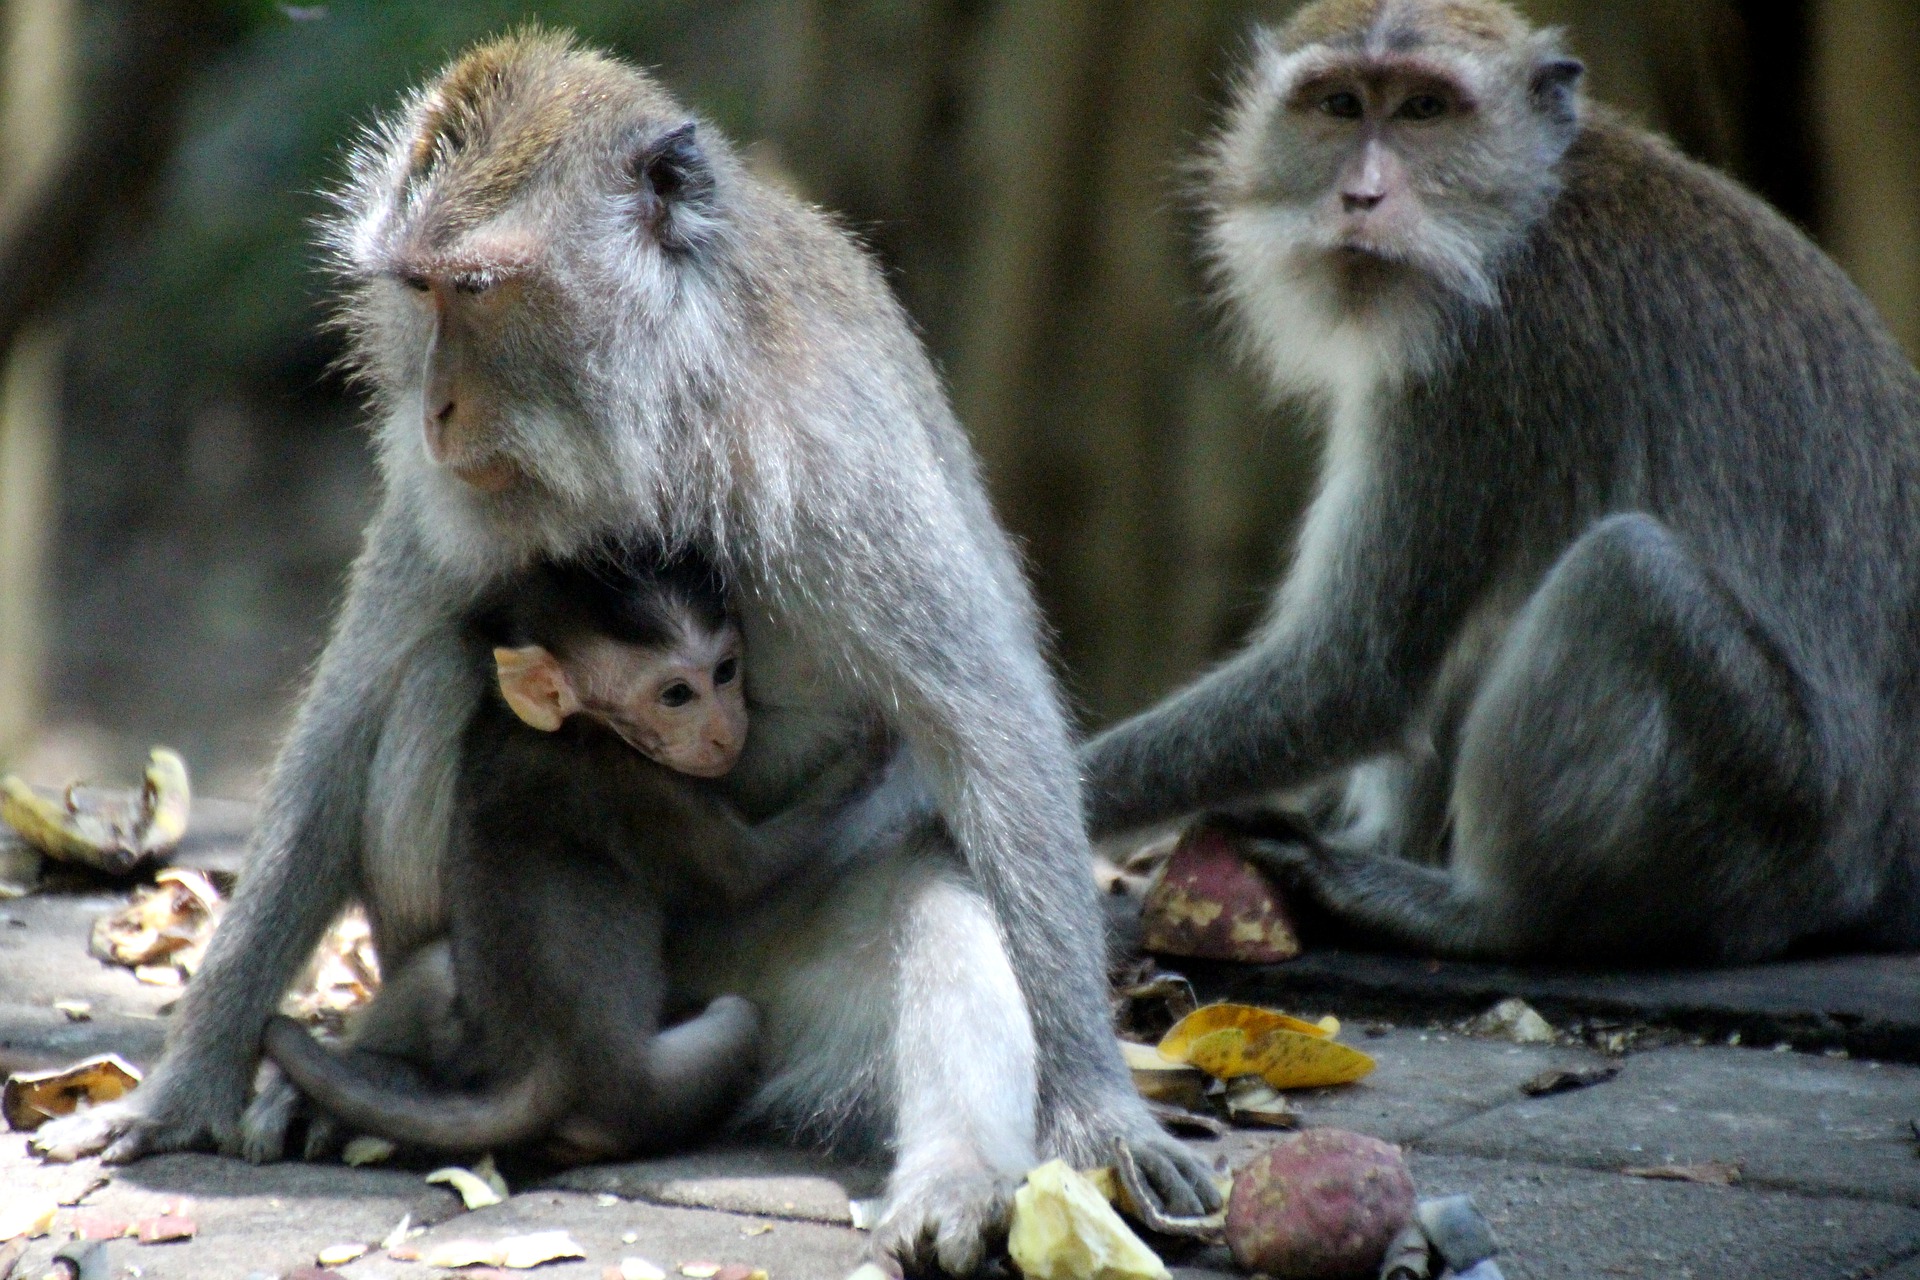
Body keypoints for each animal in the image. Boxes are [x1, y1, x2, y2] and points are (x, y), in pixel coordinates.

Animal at [264, 548, 871, 1159]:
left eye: (726, 670)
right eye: (676, 695)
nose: (728, 731)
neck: (560, 729)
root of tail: (543, 1069)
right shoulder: (634, 783)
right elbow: (746, 871)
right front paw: (862, 759)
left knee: (436, 970)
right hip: (648, 1091)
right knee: (736, 1019)